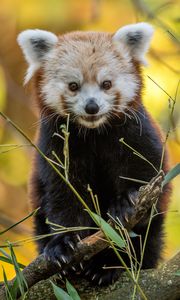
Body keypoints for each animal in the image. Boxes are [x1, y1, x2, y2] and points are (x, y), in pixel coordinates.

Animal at [17, 23, 170, 286]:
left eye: (106, 84)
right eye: (73, 86)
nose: (91, 106)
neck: (94, 133)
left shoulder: (138, 135)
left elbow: (146, 178)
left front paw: (124, 204)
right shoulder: (56, 147)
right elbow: (63, 195)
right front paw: (63, 245)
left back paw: (107, 265)